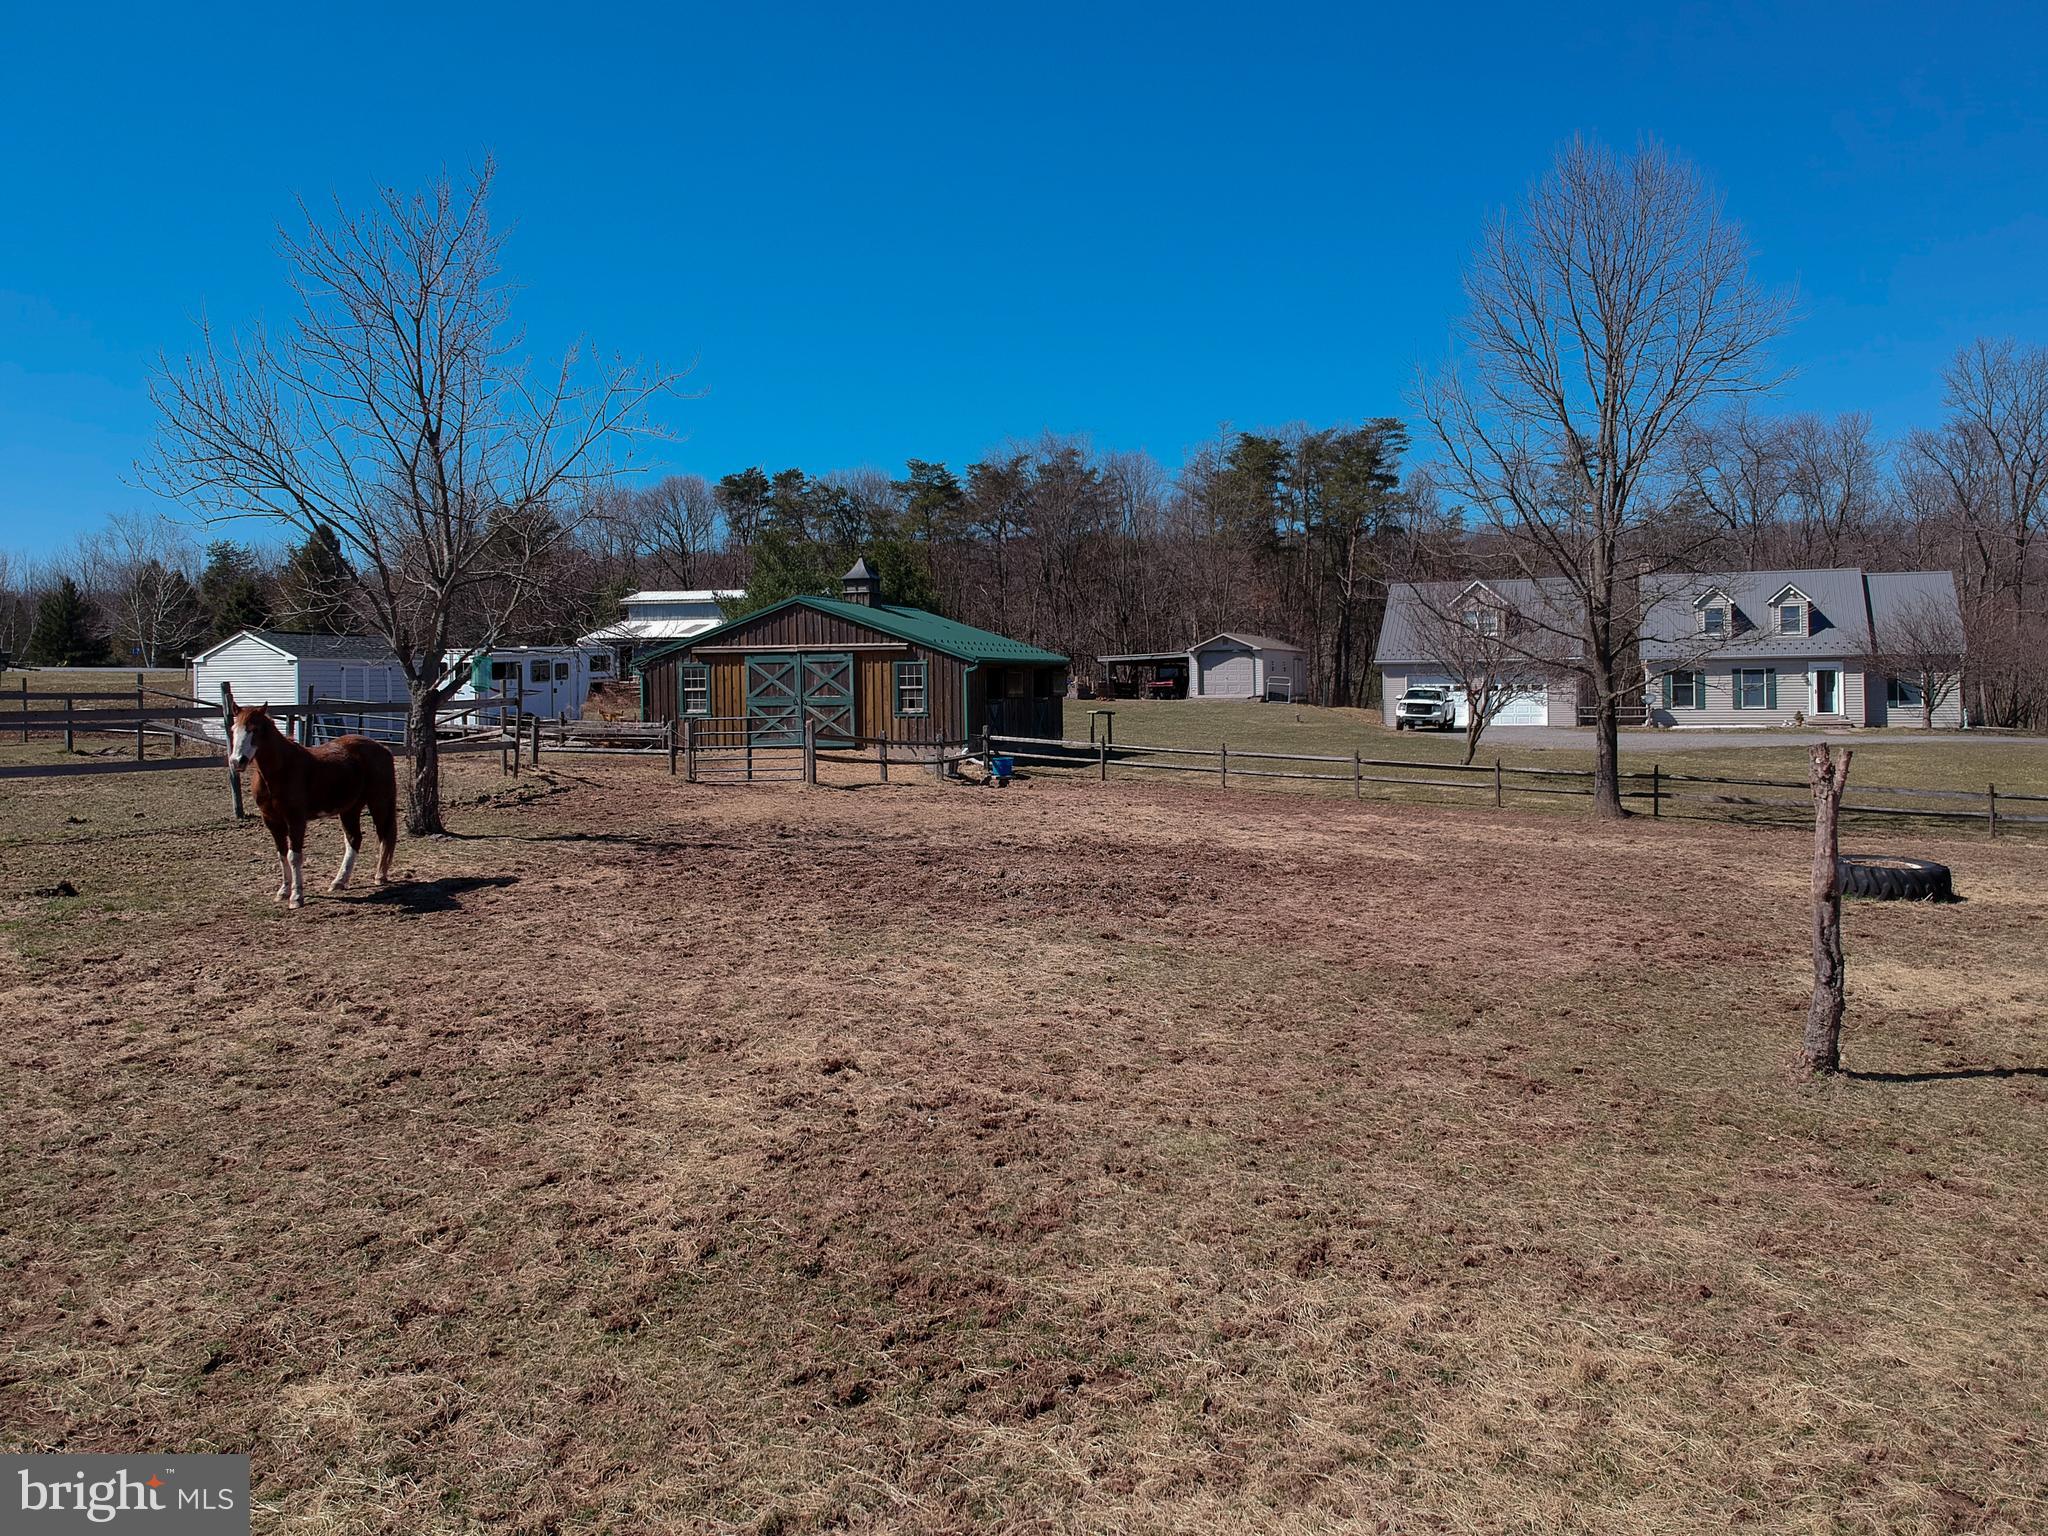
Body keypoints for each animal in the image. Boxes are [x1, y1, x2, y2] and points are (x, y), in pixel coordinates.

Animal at [221, 683, 398, 908]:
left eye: (255, 730)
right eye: (234, 729)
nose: (238, 761)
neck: (280, 771)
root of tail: (382, 748)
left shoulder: (296, 819)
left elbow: (294, 856)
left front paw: (296, 897)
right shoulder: (271, 820)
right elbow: (281, 854)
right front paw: (283, 891)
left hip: (379, 803)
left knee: (384, 835)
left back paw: (379, 876)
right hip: (350, 809)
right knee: (354, 839)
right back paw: (339, 881)